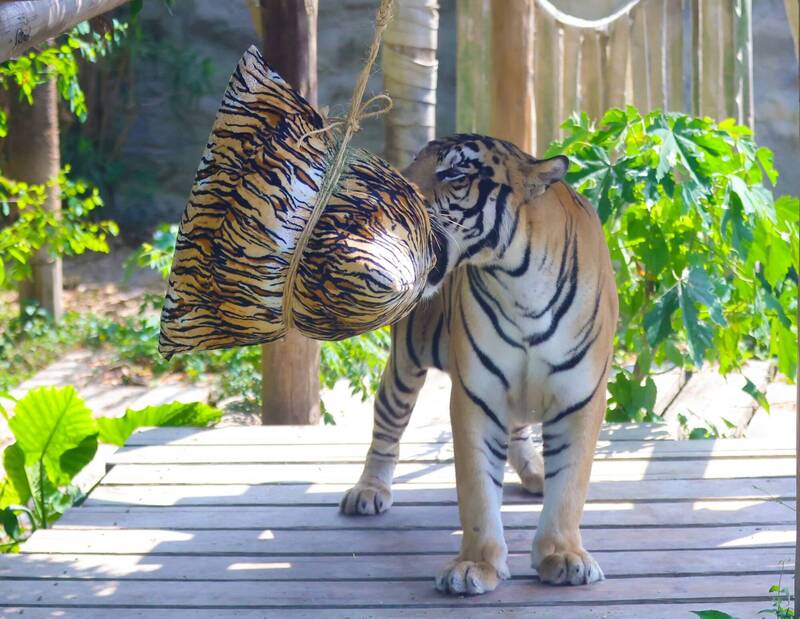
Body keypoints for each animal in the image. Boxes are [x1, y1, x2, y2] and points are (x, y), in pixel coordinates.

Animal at [340, 134, 619, 596]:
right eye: (413, 163)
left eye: (454, 173)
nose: (388, 192)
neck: (518, 282)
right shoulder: (476, 395)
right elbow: (476, 490)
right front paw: (475, 564)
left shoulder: (579, 398)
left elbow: (569, 485)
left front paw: (563, 555)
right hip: (406, 361)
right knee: (387, 424)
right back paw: (368, 490)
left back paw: (537, 472)